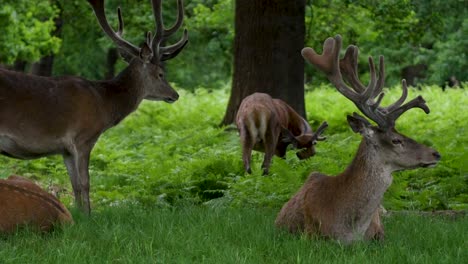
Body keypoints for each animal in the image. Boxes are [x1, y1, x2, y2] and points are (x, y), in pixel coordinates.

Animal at [0, 0, 187, 214]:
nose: (175, 95)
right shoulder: (83, 138)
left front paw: (79, 214)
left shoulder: (65, 149)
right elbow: (85, 183)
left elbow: (74, 184)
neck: (103, 103)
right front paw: (89, 215)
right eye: (160, 74)